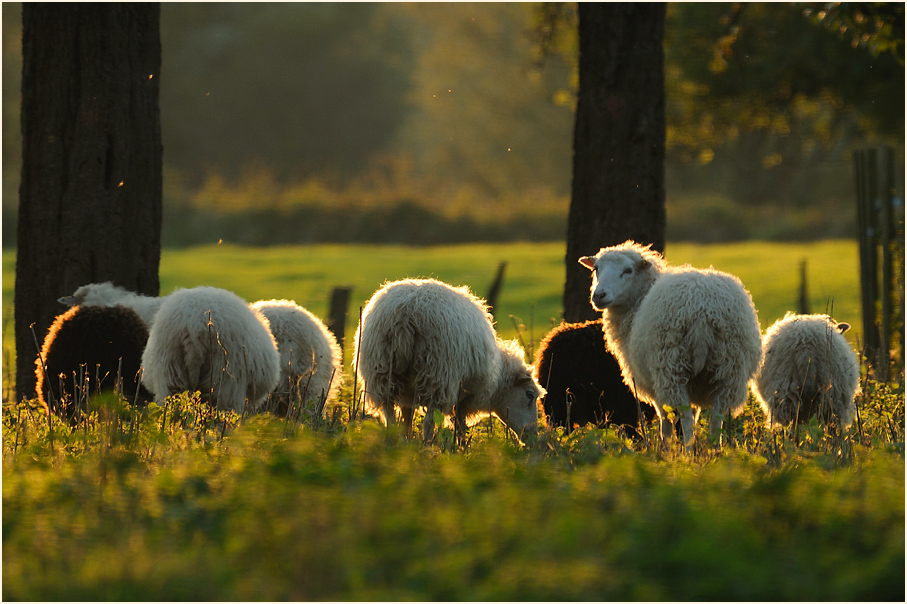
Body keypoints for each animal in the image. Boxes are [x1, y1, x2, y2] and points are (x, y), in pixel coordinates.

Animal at [352, 278, 544, 444]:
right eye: (530, 395)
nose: (532, 437)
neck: (498, 381)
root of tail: (406, 312)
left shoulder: (408, 395)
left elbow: (407, 420)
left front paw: (406, 442)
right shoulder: (466, 395)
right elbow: (460, 425)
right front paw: (460, 448)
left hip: (381, 372)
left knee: (390, 418)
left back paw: (393, 444)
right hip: (438, 374)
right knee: (429, 423)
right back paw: (426, 448)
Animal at [580, 239, 764, 444]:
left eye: (628, 270)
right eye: (596, 268)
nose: (599, 295)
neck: (637, 303)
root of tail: (703, 309)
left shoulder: (655, 385)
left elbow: (666, 422)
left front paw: (666, 447)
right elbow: (695, 415)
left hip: (671, 368)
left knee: (685, 419)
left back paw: (689, 448)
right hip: (730, 370)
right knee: (716, 420)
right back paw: (713, 449)